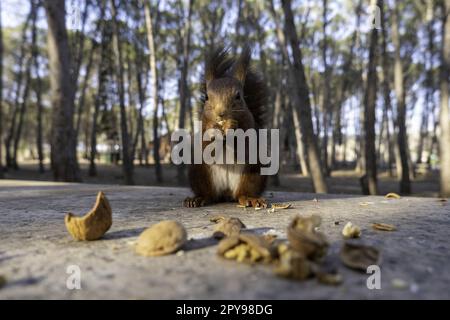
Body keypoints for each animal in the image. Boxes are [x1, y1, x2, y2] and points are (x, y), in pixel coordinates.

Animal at [183, 46, 268, 209]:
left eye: (238, 96)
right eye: (207, 97)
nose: (221, 113)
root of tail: (226, 192)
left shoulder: (250, 127)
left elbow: (246, 147)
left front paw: (232, 128)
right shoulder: (202, 128)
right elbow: (205, 146)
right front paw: (214, 130)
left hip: (253, 173)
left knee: (243, 192)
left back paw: (250, 198)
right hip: (199, 173)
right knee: (208, 194)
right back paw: (198, 198)